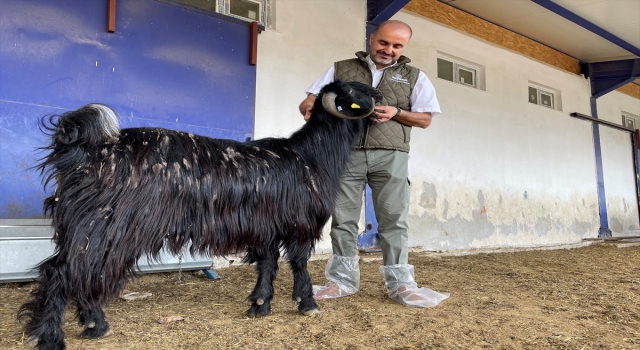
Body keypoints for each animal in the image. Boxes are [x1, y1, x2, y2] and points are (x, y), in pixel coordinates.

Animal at [18, 80, 380, 348]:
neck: (312, 155)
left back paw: (93, 324)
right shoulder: (300, 223)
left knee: (77, 270)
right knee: (66, 272)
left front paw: (260, 305)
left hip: (84, 224)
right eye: (355, 90)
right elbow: (300, 263)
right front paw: (308, 305)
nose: (380, 97)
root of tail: (86, 149)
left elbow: (268, 264)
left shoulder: (264, 227)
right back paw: (54, 336)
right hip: (109, 224)